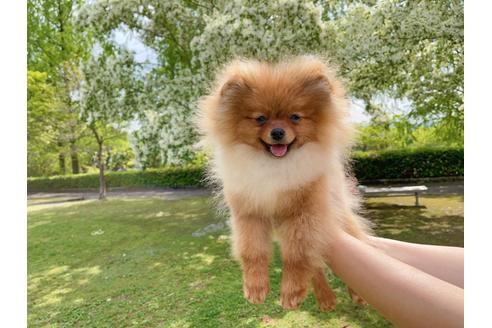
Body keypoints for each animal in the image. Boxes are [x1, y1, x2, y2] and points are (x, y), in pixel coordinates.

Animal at [198, 55, 370, 310]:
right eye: (260, 119)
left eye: (295, 117)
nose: (278, 132)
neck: (274, 166)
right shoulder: (249, 213)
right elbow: (252, 251)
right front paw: (255, 287)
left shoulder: (303, 214)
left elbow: (297, 256)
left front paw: (291, 291)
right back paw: (325, 298)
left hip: (342, 217)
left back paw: (356, 294)